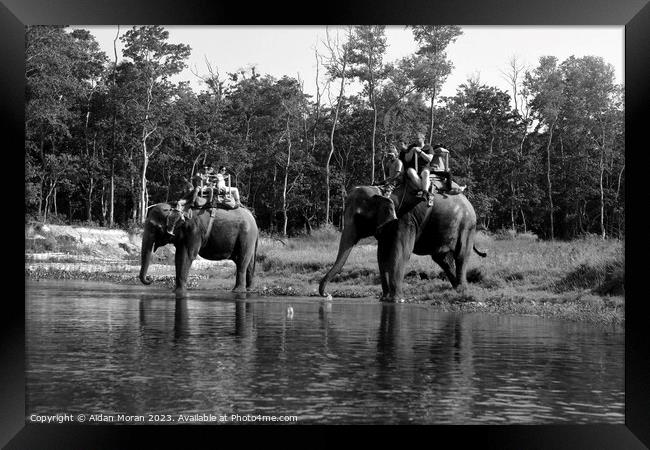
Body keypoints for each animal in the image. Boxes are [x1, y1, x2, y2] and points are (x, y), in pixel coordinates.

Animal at [316, 180, 484, 302]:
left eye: (358, 217)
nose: (328, 295)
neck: (381, 191)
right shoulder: (387, 224)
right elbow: (381, 255)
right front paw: (384, 299)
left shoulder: (405, 217)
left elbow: (400, 252)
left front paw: (396, 300)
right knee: (442, 259)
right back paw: (457, 289)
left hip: (467, 226)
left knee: (461, 255)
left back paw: (462, 291)